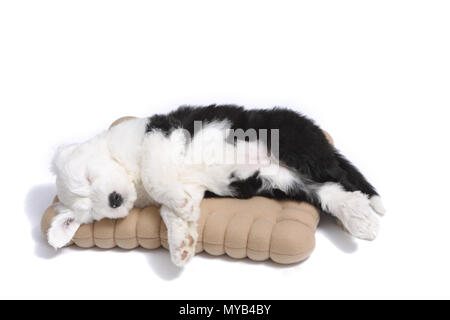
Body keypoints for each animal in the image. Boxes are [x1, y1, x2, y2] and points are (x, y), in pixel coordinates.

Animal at [49, 104, 386, 264]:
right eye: (93, 211)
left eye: (90, 177)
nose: (115, 200)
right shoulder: (190, 185)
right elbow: (171, 212)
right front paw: (182, 245)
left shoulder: (158, 134)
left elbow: (155, 175)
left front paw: (181, 213)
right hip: (287, 181)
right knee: (331, 193)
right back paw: (359, 219)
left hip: (295, 145)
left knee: (343, 175)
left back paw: (370, 209)